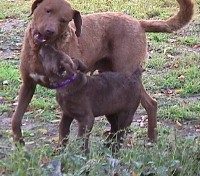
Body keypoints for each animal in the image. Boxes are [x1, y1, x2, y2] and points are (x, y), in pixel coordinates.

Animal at [11, 0, 194, 144]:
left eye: (64, 20)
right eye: (47, 10)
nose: (50, 31)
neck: (40, 50)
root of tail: (138, 22)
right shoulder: (27, 84)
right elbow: (16, 118)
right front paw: (19, 144)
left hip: (126, 75)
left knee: (151, 103)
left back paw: (151, 139)